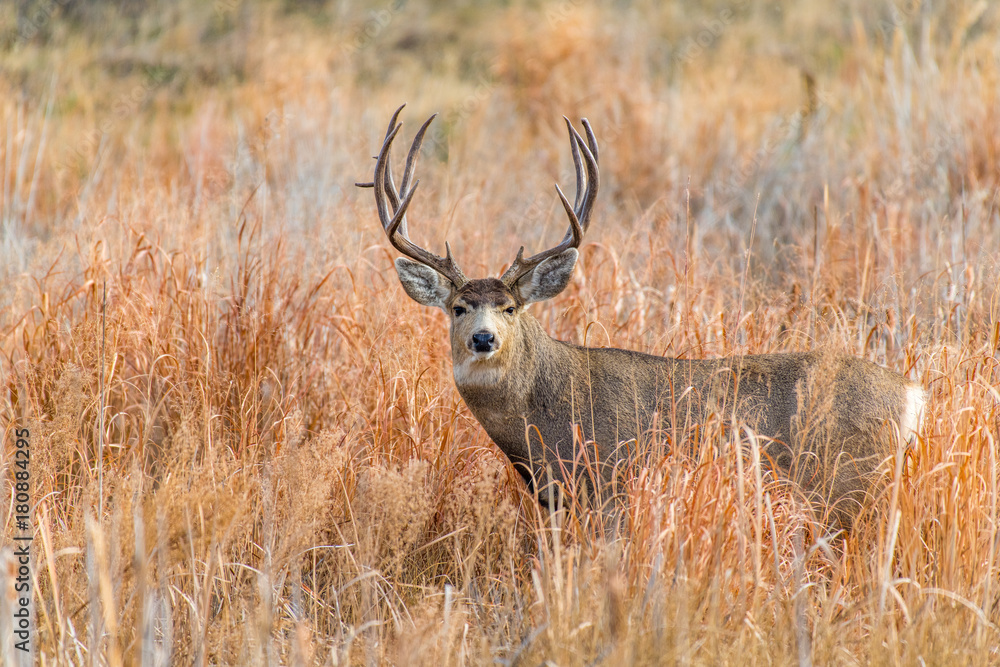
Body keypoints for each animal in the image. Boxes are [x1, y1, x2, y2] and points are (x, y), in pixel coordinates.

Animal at [357, 105, 927, 531]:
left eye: (510, 308)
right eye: (458, 307)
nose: (482, 338)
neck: (543, 418)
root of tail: (910, 395)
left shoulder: (610, 484)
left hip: (846, 481)